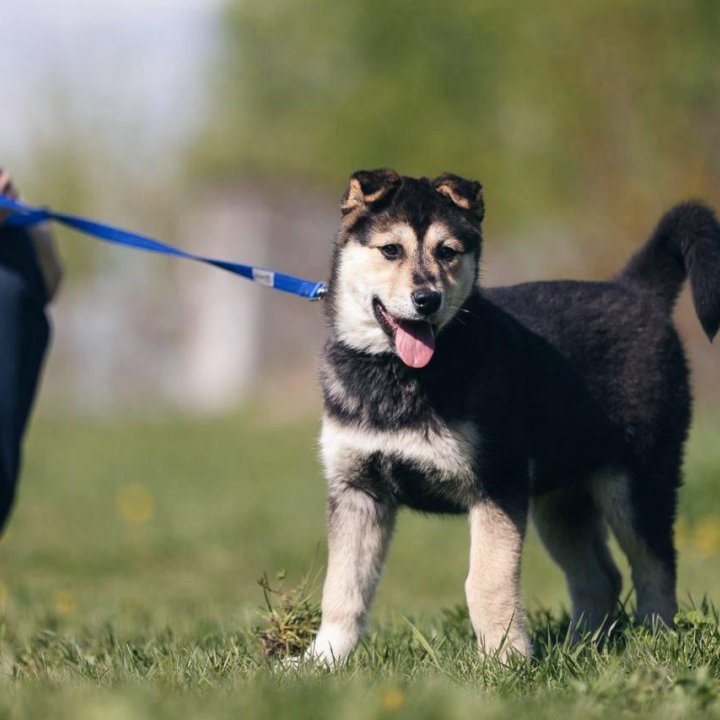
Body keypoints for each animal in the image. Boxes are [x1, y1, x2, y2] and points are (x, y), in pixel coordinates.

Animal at [308, 170, 720, 664]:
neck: (397, 373)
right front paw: (321, 659)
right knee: (600, 576)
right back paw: (580, 646)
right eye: (390, 250)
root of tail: (638, 291)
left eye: (448, 251)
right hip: (561, 500)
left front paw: (507, 662)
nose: (427, 299)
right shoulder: (357, 490)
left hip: (637, 480)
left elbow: (487, 582)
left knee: (656, 565)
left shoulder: (497, 482)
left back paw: (655, 640)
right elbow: (343, 587)